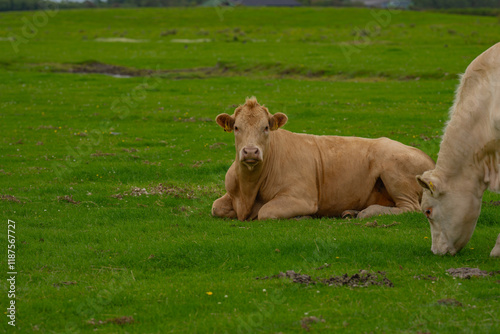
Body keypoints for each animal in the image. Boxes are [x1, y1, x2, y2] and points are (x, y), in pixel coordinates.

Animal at [211, 97, 434, 222]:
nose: (250, 152)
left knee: (410, 208)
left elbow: (266, 212)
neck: (248, 191)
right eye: (236, 127)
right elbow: (216, 207)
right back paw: (351, 212)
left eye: (265, 127)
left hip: (394, 172)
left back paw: (367, 213)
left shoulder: (302, 197)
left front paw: (302, 217)